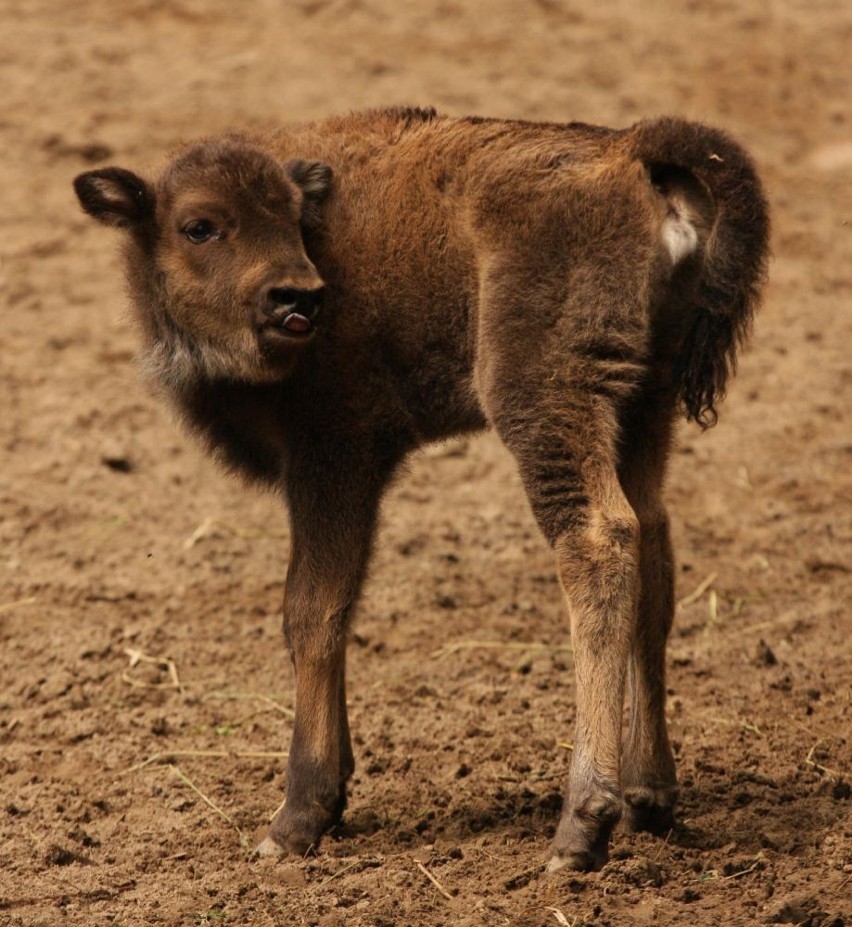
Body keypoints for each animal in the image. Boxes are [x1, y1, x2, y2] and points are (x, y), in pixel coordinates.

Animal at [73, 107, 768, 872]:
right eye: (199, 226)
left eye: (288, 215)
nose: (297, 296)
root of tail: (626, 150)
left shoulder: (334, 460)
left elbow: (311, 610)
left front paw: (298, 816)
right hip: (645, 406)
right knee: (653, 547)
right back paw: (651, 796)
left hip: (544, 400)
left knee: (599, 542)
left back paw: (580, 827)